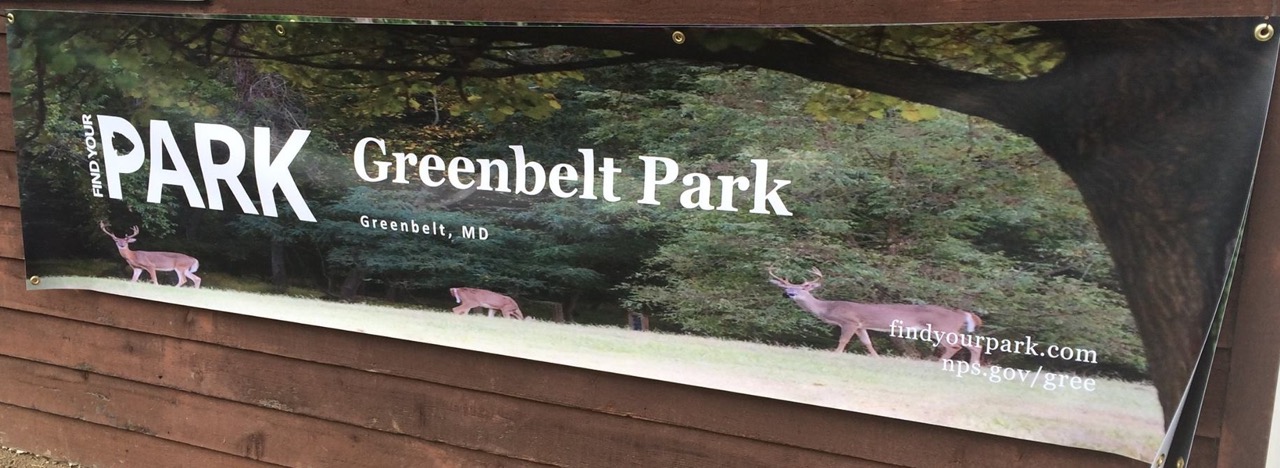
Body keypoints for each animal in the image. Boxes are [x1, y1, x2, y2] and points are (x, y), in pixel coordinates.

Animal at [762, 268, 983, 363]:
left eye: (804, 287)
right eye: (786, 286)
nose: (789, 293)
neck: (829, 309)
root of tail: (960, 314)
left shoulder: (850, 322)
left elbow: (843, 341)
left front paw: (834, 354)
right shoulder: (862, 326)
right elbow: (868, 342)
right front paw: (877, 357)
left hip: (941, 328)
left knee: (954, 346)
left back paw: (939, 363)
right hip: (950, 330)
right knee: (973, 344)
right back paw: (973, 366)